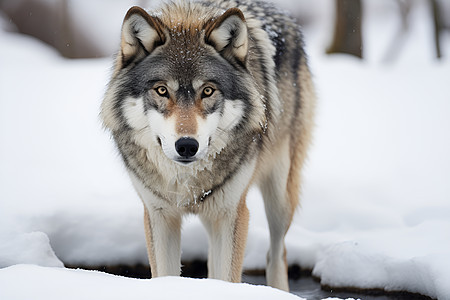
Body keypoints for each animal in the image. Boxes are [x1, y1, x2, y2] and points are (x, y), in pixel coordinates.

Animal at [100, 0, 314, 290]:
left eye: (208, 91)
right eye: (162, 90)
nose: (187, 145)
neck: (185, 181)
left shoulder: (232, 212)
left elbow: (230, 277)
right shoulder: (158, 215)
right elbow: (165, 275)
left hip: (279, 198)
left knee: (276, 253)